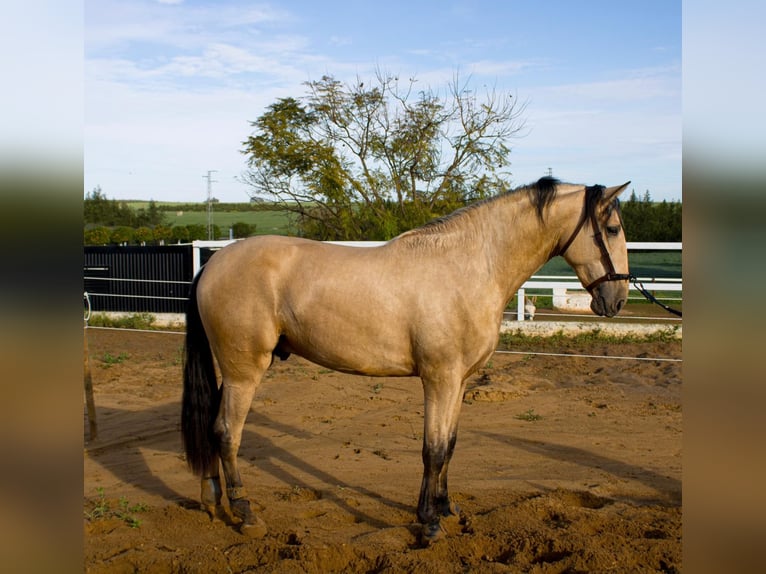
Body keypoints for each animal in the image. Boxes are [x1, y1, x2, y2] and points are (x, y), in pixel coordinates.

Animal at [182, 178, 632, 548]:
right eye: (611, 229)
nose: (617, 301)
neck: (468, 267)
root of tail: (212, 264)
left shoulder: (459, 382)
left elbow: (449, 446)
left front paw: (445, 510)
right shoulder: (439, 379)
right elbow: (432, 450)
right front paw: (429, 525)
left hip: (233, 374)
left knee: (211, 426)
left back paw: (212, 500)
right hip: (244, 374)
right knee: (226, 433)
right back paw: (245, 514)